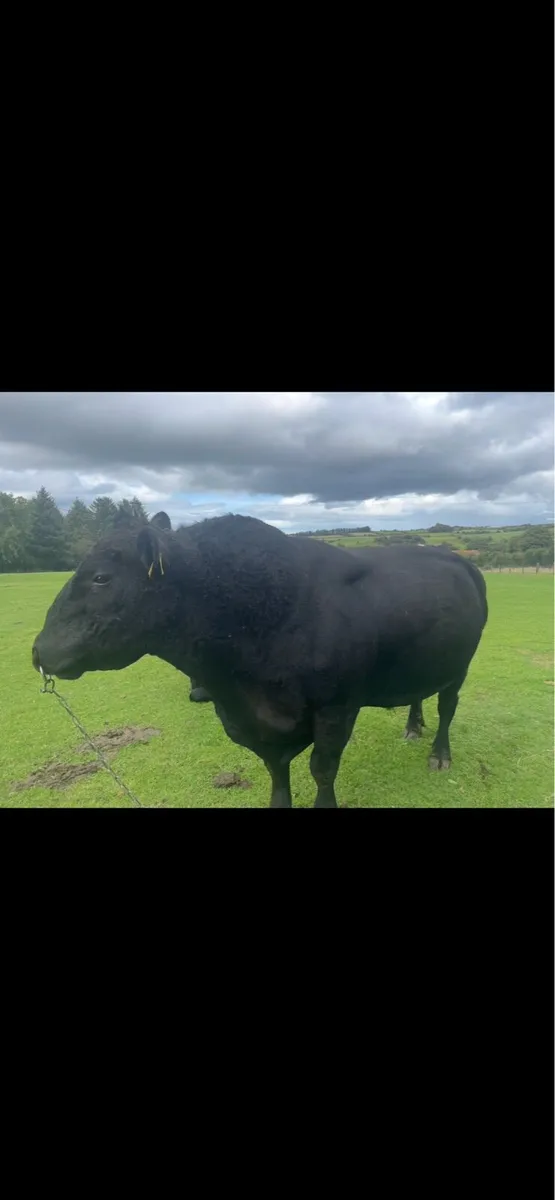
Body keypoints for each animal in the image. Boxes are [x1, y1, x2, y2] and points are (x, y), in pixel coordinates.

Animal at [32, 513, 488, 808]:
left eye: (100, 578)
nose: (38, 650)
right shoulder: (254, 723)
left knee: (447, 707)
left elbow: (322, 769)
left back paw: (439, 753)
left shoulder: (336, 707)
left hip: (461, 665)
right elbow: (276, 769)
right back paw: (413, 725)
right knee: (419, 693)